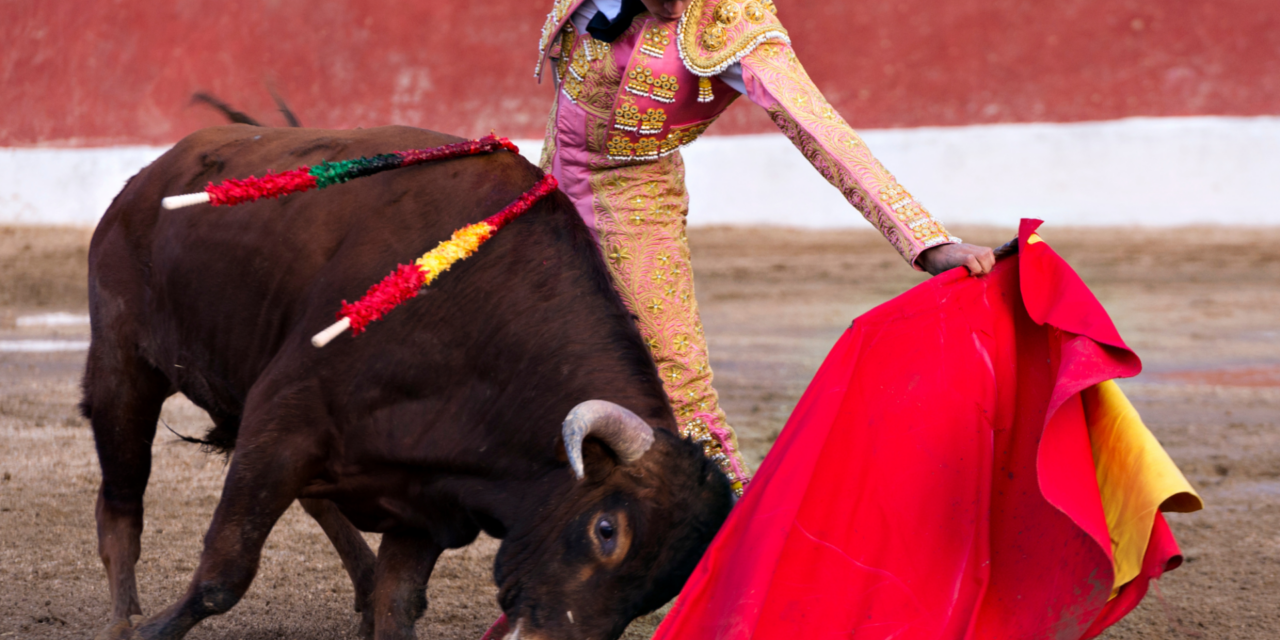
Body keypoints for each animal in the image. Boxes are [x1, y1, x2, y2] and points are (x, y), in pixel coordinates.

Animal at [82, 124, 732, 640]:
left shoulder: (422, 497)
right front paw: (150, 632)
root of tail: (151, 174)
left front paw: (378, 599)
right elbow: (225, 571)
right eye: (605, 529)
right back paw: (120, 621)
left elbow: (399, 604)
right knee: (120, 503)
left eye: (661, 587)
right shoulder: (283, 421)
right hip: (123, 366)